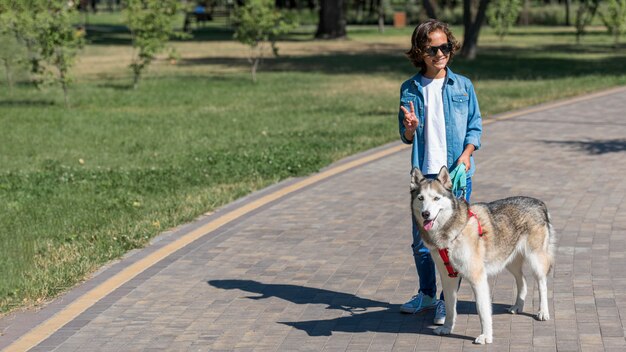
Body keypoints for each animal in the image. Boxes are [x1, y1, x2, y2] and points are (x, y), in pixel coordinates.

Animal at [412, 166, 552, 344]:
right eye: (421, 198)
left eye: (436, 198)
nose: (426, 214)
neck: (452, 233)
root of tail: (539, 203)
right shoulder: (448, 277)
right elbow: (450, 307)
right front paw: (447, 328)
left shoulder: (478, 278)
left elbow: (482, 310)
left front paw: (486, 336)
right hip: (508, 261)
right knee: (523, 280)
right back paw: (518, 306)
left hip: (535, 261)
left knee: (542, 284)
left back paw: (543, 312)